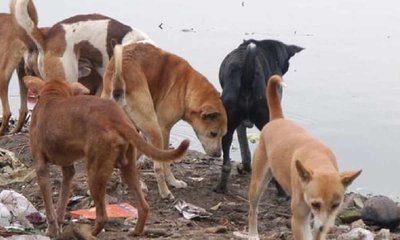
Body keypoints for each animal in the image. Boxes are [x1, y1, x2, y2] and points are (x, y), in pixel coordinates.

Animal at [24, 77, 190, 238]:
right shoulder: (68, 170)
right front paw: (58, 225)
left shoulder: (41, 168)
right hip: (128, 168)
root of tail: (118, 118)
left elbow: (50, 208)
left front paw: (52, 230)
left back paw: (88, 233)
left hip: (94, 173)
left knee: (103, 216)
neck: (51, 95)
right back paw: (135, 231)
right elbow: (61, 203)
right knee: (143, 206)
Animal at [101, 44, 228, 200]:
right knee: (158, 167)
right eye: (213, 133)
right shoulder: (164, 129)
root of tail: (119, 79)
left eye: (223, 135)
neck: (186, 85)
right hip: (155, 130)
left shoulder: (141, 134)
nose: (218, 155)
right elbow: (166, 161)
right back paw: (164, 192)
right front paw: (173, 181)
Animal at [247, 75, 362, 240]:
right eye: (316, 204)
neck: (318, 160)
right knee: (253, 209)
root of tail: (277, 119)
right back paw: (252, 233)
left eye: (335, 205)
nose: (322, 227)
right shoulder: (299, 219)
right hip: (258, 184)